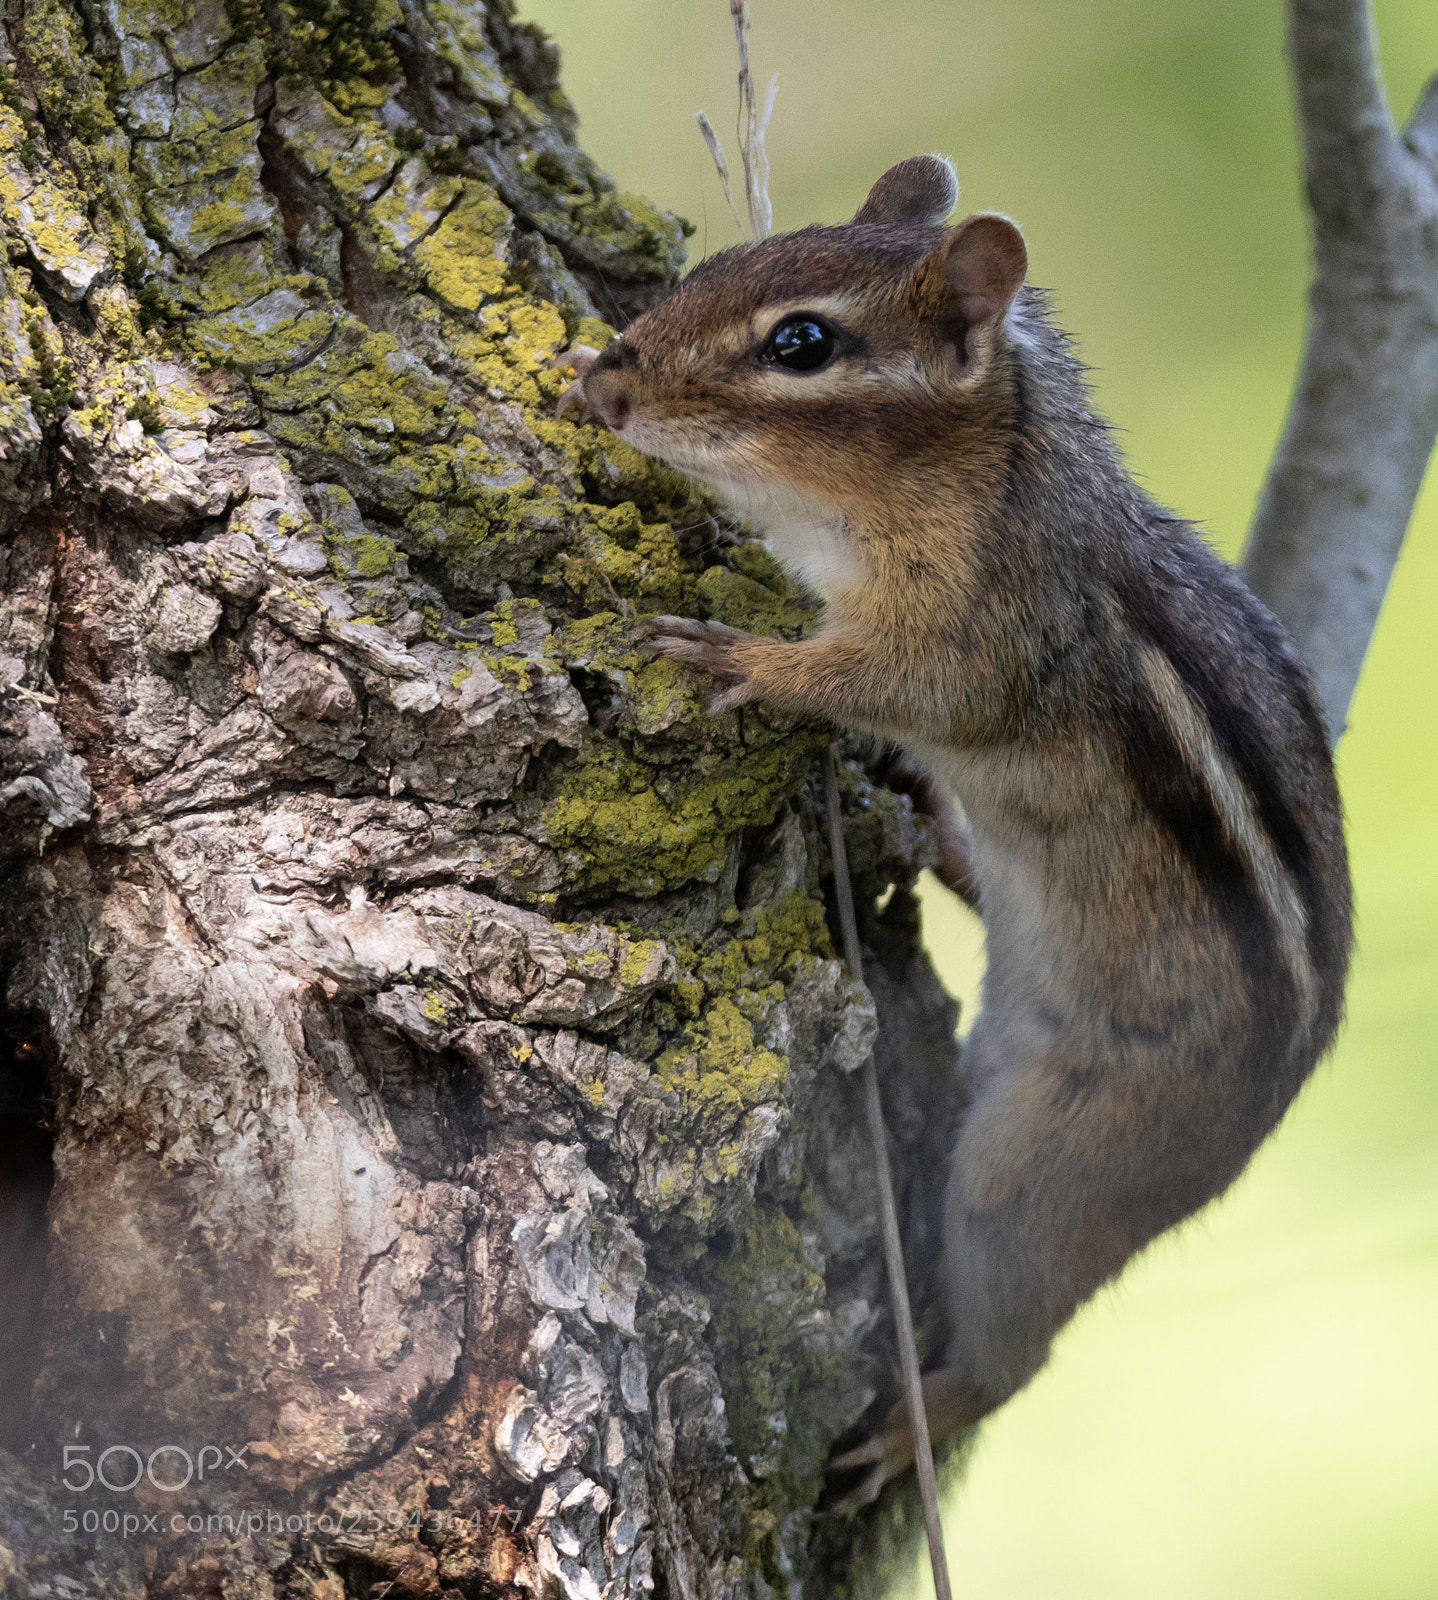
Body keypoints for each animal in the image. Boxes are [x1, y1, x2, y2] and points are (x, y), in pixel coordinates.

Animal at [559, 154, 1353, 1501]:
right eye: (712, 265)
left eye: (802, 342)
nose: (602, 384)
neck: (984, 468)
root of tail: (1259, 1122)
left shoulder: (978, 631)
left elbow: (893, 685)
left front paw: (742, 655)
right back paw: (937, 834)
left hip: (1047, 1168)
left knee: (1021, 1335)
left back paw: (920, 1418)